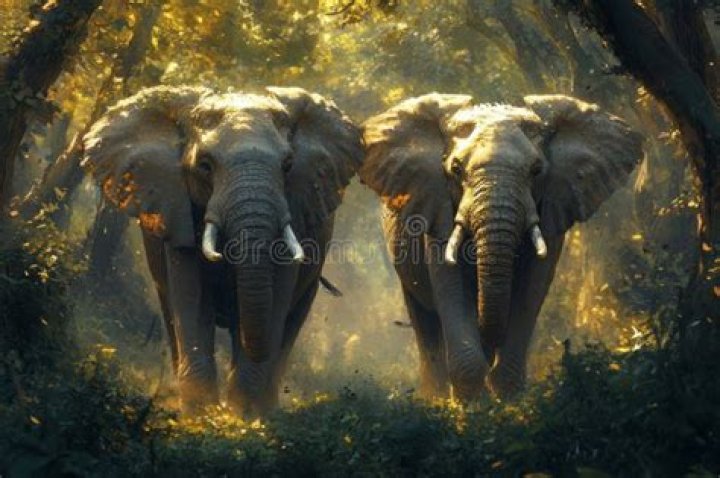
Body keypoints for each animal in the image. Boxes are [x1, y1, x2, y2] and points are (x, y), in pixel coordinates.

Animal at [81, 85, 363, 415]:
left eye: (288, 166)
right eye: (205, 165)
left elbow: (277, 298)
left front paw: (244, 415)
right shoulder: (177, 207)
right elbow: (191, 296)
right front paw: (201, 413)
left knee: (291, 321)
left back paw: (266, 407)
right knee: (171, 311)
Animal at [360, 94, 644, 399]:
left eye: (536, 170)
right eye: (455, 169)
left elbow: (531, 288)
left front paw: (508, 401)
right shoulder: (437, 206)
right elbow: (452, 286)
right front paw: (474, 407)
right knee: (425, 322)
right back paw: (435, 398)